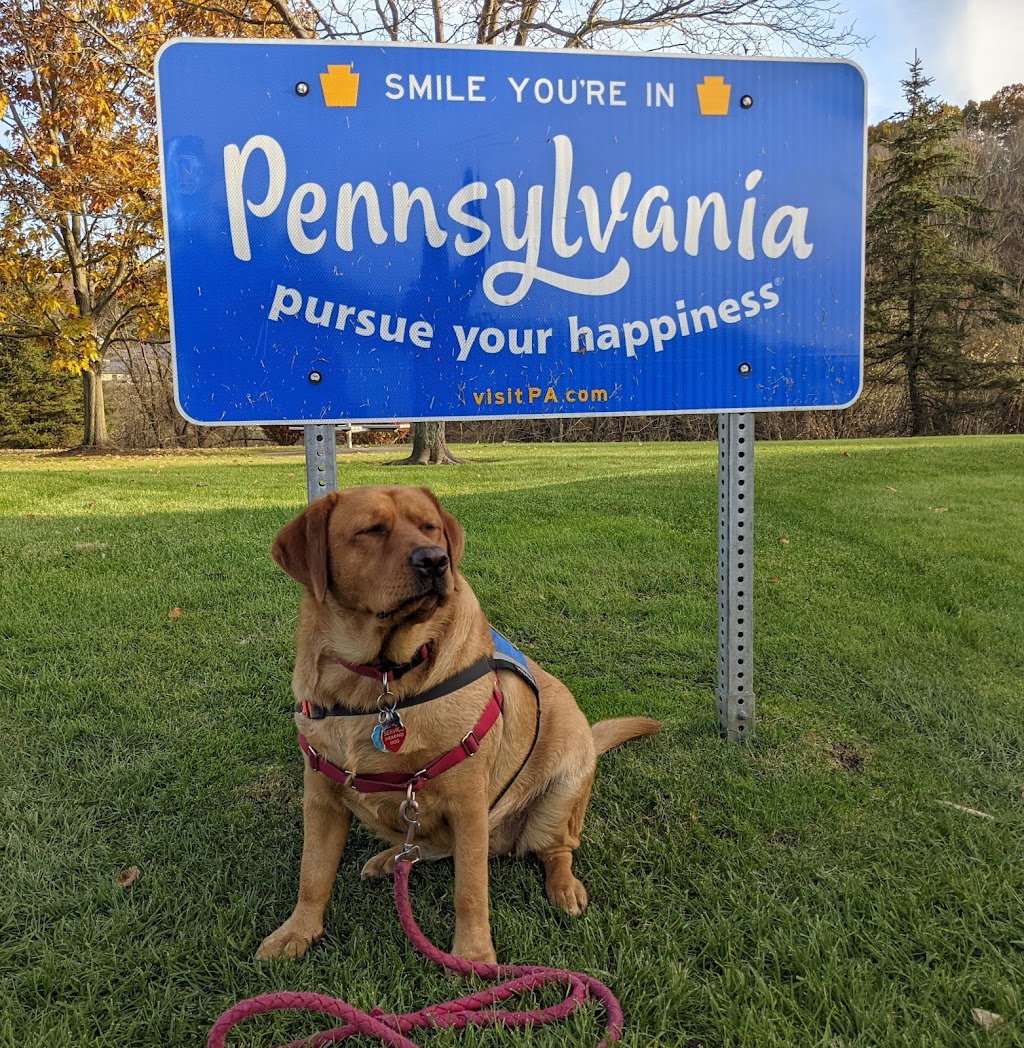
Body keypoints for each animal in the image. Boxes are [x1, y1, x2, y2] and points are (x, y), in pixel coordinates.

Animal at [259, 486, 658, 959]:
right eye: (372, 530)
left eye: (430, 527)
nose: (435, 560)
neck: (381, 679)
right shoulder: (321, 794)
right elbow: (313, 873)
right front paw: (297, 931)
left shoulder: (468, 802)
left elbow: (470, 888)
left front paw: (473, 956)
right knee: (429, 846)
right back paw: (389, 859)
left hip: (562, 793)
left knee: (555, 850)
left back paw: (564, 887)